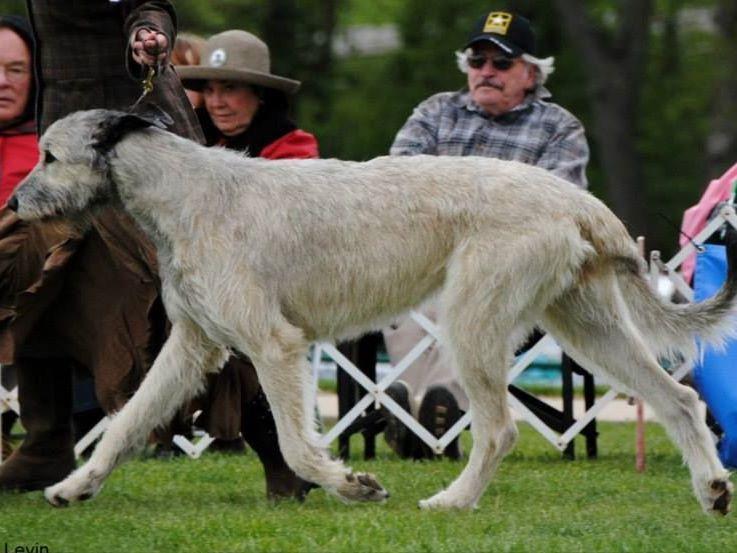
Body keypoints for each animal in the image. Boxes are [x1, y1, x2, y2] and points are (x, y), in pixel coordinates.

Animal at [7, 109, 736, 512]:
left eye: (48, 155)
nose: (12, 202)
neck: (179, 190)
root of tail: (576, 198)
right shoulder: (192, 345)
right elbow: (126, 421)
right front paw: (75, 486)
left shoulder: (274, 344)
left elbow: (297, 444)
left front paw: (352, 483)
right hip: (586, 324)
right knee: (677, 398)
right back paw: (712, 487)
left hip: (472, 324)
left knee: (500, 429)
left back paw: (452, 501)